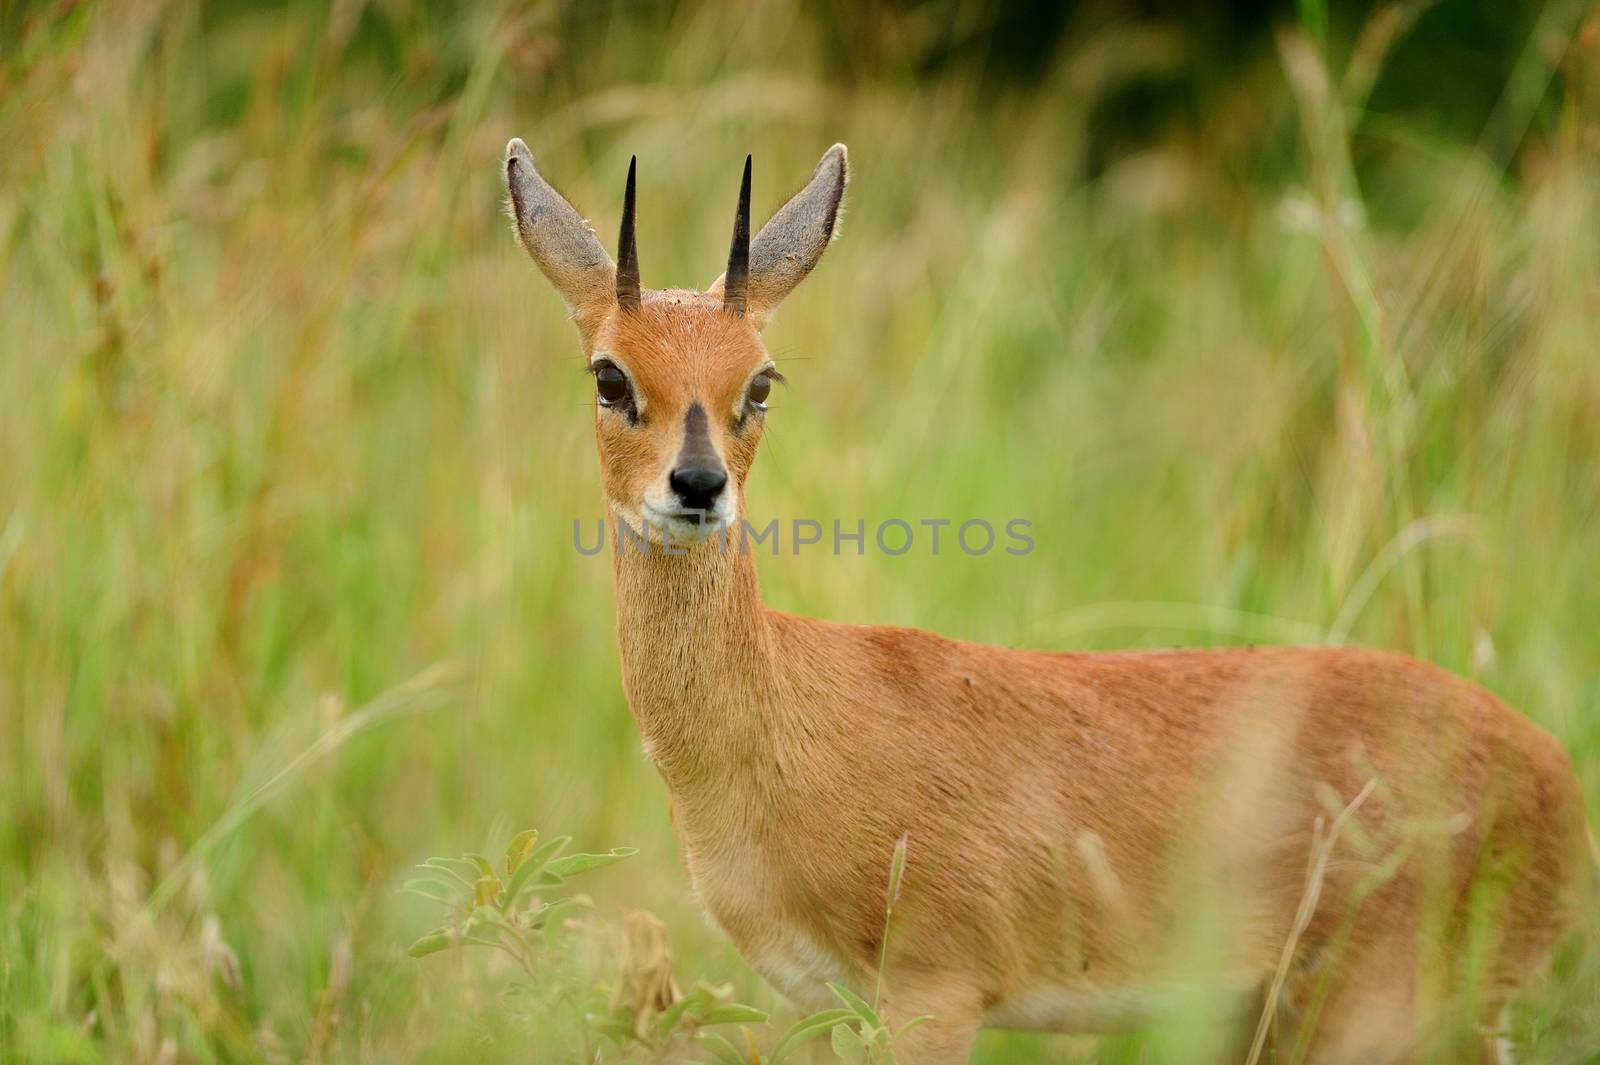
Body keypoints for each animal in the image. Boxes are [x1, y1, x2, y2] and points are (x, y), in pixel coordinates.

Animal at [499, 136, 1587, 1055]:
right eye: (609, 375)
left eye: (760, 381)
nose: (697, 485)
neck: (789, 719)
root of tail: (1557, 775)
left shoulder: (936, 994)